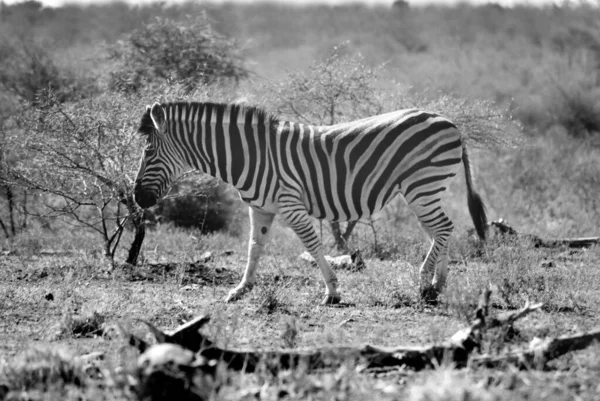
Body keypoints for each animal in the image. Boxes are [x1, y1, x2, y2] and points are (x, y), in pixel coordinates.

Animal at [134, 101, 486, 304]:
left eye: (148, 151)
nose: (138, 198)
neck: (251, 156)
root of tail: (448, 121)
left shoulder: (291, 205)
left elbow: (313, 245)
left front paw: (332, 291)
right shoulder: (260, 208)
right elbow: (254, 248)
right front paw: (241, 289)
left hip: (421, 184)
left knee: (443, 228)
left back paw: (424, 284)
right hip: (426, 189)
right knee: (440, 232)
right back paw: (437, 286)